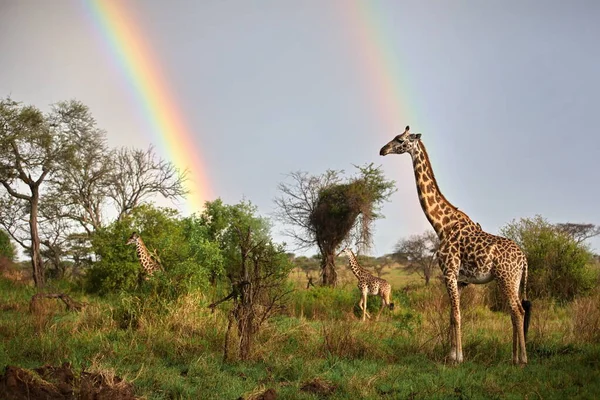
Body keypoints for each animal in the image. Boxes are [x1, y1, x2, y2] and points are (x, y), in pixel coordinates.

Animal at [380, 126, 528, 364]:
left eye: (400, 140)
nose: (382, 150)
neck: (441, 225)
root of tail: (524, 258)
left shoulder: (448, 271)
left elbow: (457, 314)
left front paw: (458, 359)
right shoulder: (459, 279)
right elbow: (452, 314)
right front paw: (451, 355)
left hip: (506, 277)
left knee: (518, 311)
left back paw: (522, 359)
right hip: (512, 280)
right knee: (515, 311)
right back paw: (514, 358)